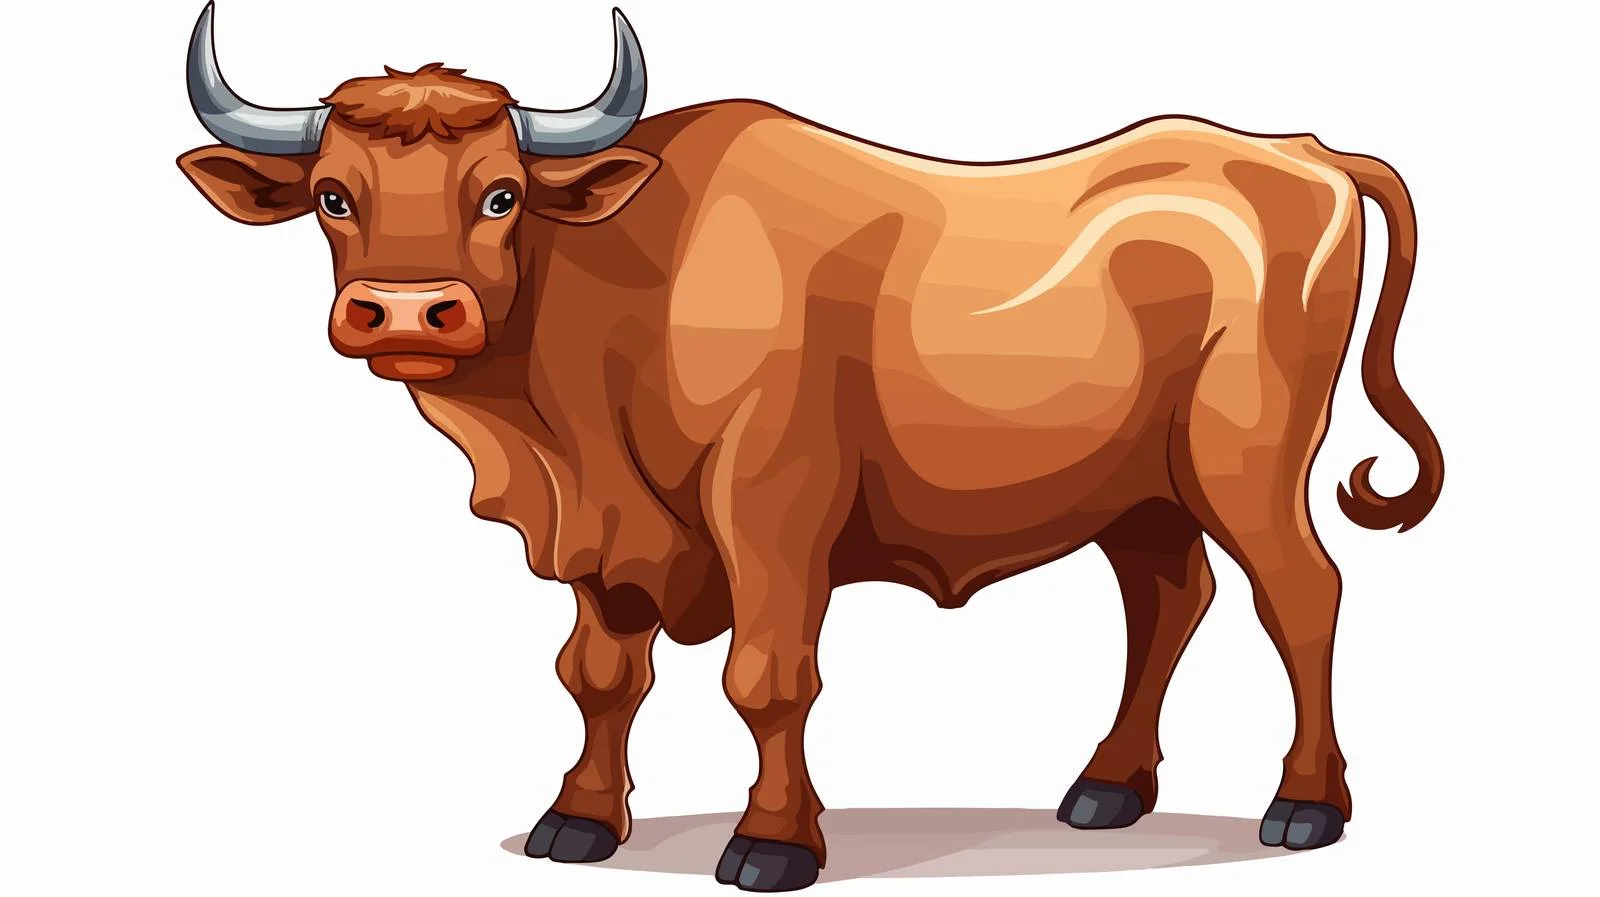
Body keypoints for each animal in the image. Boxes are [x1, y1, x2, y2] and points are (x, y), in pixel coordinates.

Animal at [177, 3, 1443, 891]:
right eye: (333, 195)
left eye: (498, 194)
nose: (405, 312)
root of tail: (1301, 151)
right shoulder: (607, 540)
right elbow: (598, 674)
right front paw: (577, 820)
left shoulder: (772, 512)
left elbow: (769, 677)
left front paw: (772, 845)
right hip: (1140, 493)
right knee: (1167, 600)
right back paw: (1104, 788)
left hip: (1245, 464)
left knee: (1301, 595)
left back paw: (1304, 808)